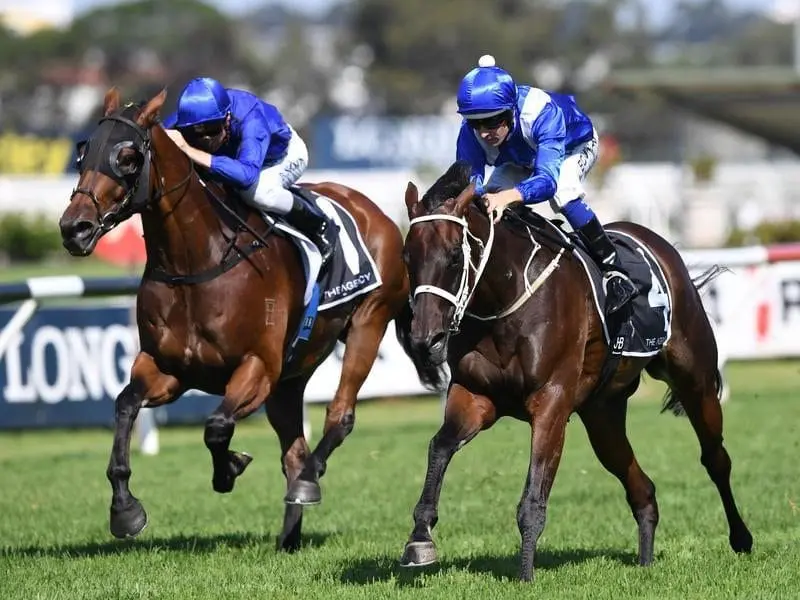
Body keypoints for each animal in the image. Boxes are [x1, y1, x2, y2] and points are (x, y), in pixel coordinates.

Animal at [57, 86, 412, 552]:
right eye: (84, 154)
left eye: (128, 156)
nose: (74, 228)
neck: (197, 262)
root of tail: (377, 211)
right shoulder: (168, 369)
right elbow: (125, 405)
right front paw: (125, 511)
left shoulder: (256, 367)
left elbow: (216, 426)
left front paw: (230, 468)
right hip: (291, 375)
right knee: (294, 451)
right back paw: (289, 535)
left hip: (368, 324)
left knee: (340, 416)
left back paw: (308, 482)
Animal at [396, 161, 752, 580]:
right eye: (407, 257)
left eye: (454, 256)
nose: (425, 340)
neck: (506, 297)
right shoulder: (475, 396)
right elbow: (440, 447)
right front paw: (420, 538)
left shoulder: (551, 402)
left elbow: (533, 499)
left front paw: (525, 577)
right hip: (602, 414)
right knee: (642, 488)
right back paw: (645, 560)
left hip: (694, 379)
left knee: (715, 458)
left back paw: (741, 538)